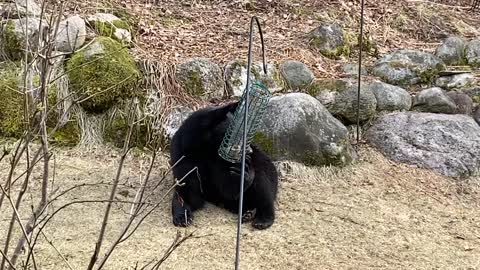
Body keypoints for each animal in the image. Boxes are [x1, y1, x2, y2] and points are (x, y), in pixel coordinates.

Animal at [171, 101, 280, 230]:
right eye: (237, 137)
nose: (249, 151)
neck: (204, 149)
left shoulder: (221, 160)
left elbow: (228, 188)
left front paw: (244, 173)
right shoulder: (184, 155)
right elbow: (187, 187)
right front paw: (182, 216)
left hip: (265, 168)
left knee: (263, 186)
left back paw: (262, 219)